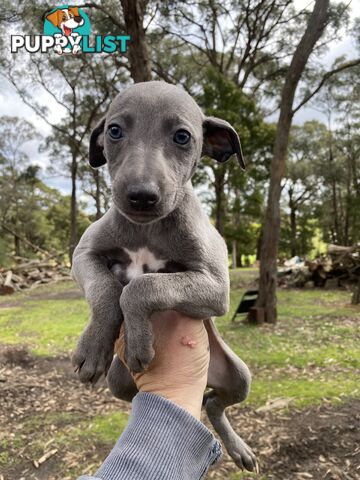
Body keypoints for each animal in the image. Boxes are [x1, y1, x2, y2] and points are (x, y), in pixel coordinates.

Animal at [73, 80, 258, 470]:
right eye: (114, 131)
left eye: (182, 137)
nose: (141, 196)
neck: (147, 230)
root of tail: (208, 378)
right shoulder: (83, 254)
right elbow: (106, 287)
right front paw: (93, 347)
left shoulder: (216, 286)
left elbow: (143, 286)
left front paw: (139, 340)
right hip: (118, 381)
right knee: (147, 398)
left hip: (239, 375)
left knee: (214, 403)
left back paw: (238, 448)